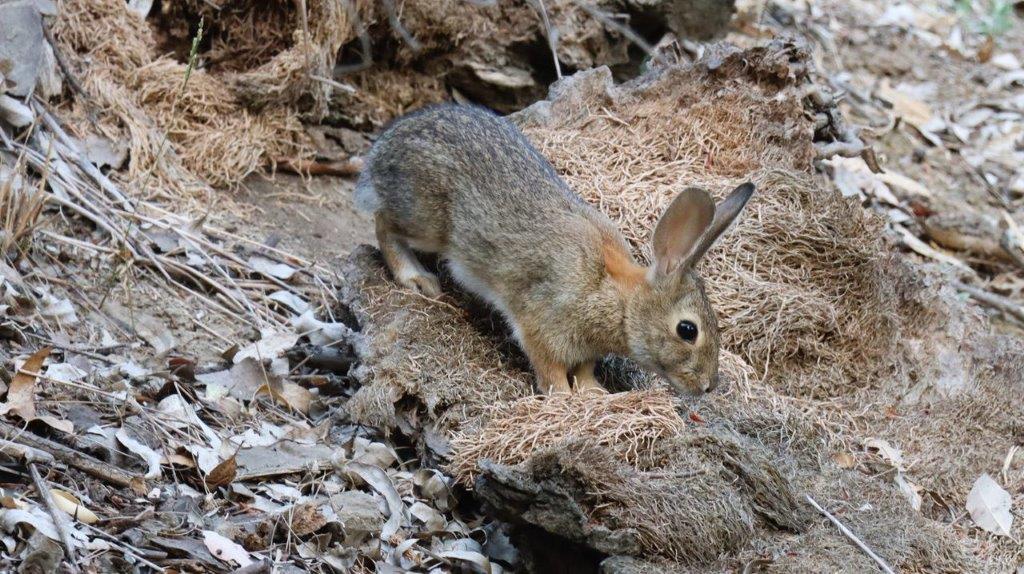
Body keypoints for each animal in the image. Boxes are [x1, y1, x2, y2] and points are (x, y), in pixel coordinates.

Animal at [356, 102, 757, 396]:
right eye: (687, 330)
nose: (708, 386)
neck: (616, 298)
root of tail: (383, 148)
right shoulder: (541, 324)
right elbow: (549, 368)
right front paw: (564, 398)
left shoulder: (586, 347)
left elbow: (585, 368)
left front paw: (594, 393)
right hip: (425, 220)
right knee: (382, 222)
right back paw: (416, 278)